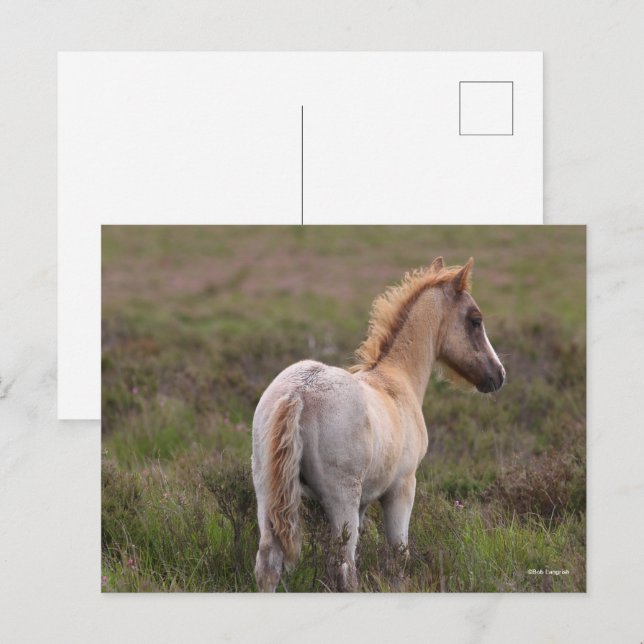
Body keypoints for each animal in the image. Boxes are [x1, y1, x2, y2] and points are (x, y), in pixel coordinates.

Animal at [251, 257, 505, 592]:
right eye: (475, 320)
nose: (498, 374)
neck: (395, 378)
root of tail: (299, 392)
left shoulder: (364, 502)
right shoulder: (402, 488)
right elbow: (398, 554)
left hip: (266, 493)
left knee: (268, 563)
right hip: (341, 498)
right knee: (345, 568)